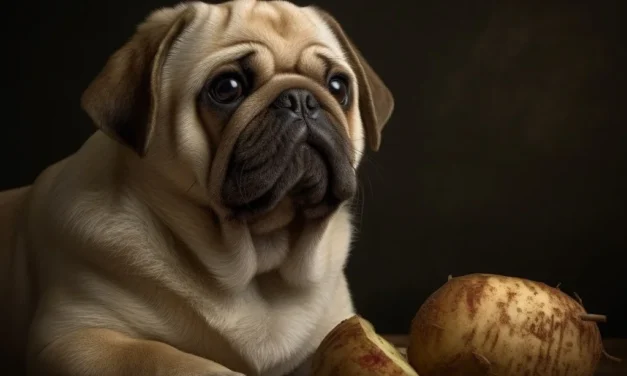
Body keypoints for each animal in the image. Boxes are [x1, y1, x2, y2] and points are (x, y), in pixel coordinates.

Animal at [0, 0, 392, 376]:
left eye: (338, 87)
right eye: (227, 88)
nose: (300, 98)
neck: (256, 265)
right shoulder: (74, 338)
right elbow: (162, 357)